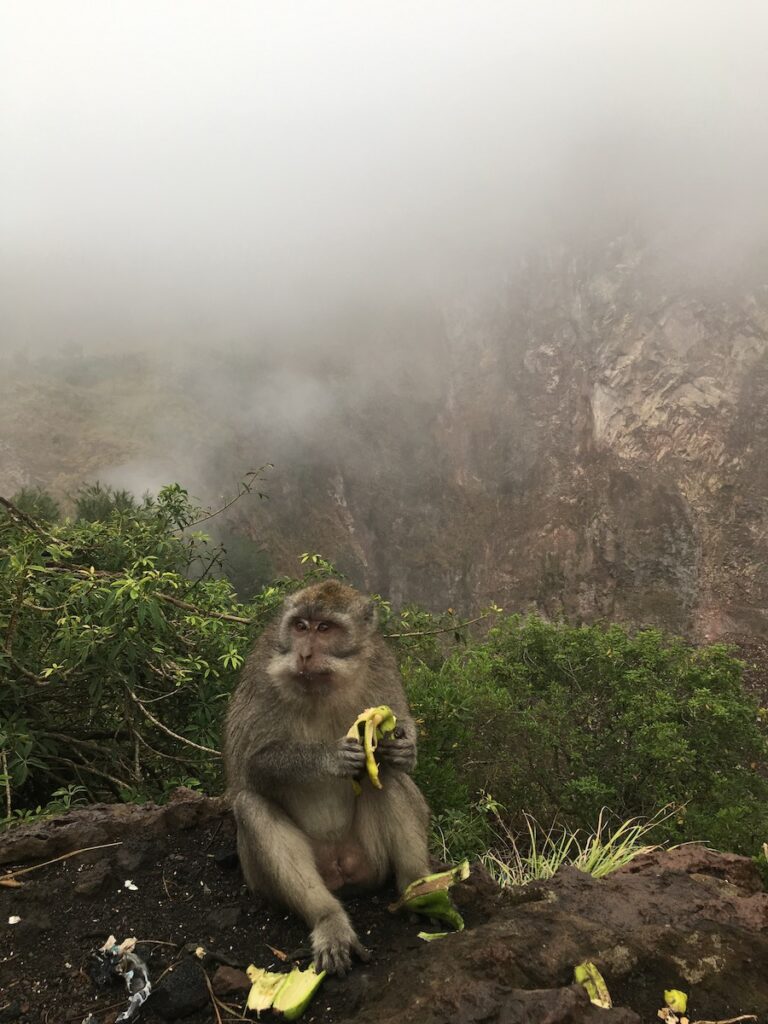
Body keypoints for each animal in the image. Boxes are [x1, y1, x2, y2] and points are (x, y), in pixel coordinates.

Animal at [222, 585, 434, 974]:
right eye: (300, 626)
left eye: (325, 628)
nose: (304, 654)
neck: (323, 684)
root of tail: (340, 867)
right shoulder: (261, 671)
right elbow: (247, 766)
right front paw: (330, 757)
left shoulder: (380, 661)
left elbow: (398, 728)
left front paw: (405, 748)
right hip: (267, 879)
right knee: (251, 805)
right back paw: (328, 919)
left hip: (370, 862)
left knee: (387, 776)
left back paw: (419, 889)